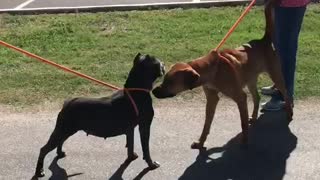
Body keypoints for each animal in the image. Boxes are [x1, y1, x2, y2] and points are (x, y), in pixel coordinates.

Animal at [34, 53, 165, 177]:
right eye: (159, 63)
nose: (164, 64)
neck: (136, 90)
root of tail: (67, 103)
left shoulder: (130, 129)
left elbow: (131, 145)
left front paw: (131, 156)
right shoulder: (144, 126)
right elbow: (146, 149)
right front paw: (151, 164)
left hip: (65, 130)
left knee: (59, 142)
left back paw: (60, 153)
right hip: (64, 129)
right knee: (43, 149)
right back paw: (39, 171)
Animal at [152, 2, 292, 149]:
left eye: (170, 82)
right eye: (164, 79)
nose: (153, 91)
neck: (212, 69)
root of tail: (264, 40)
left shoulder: (240, 97)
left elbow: (242, 123)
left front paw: (244, 141)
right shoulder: (212, 99)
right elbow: (206, 124)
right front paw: (201, 142)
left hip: (275, 75)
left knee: (286, 93)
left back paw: (289, 113)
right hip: (250, 79)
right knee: (257, 97)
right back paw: (254, 117)